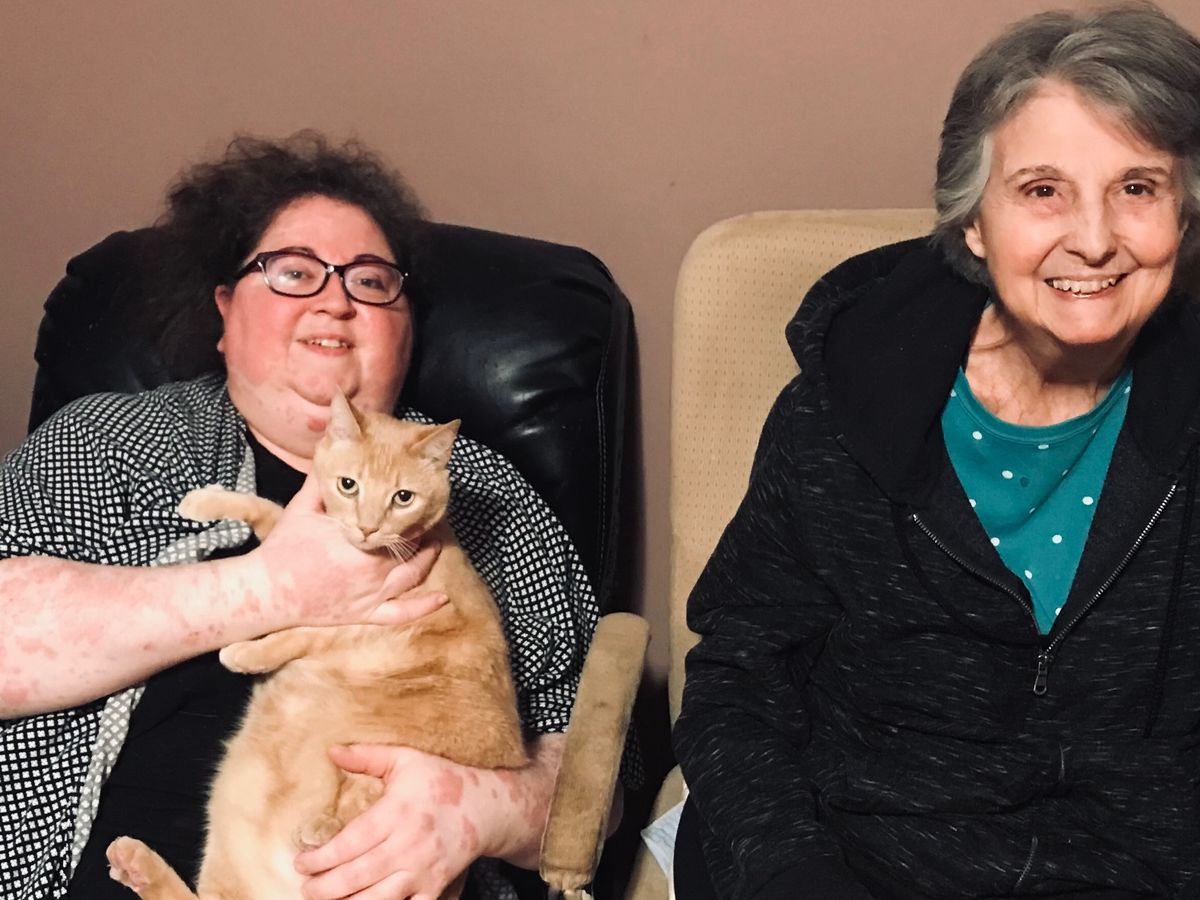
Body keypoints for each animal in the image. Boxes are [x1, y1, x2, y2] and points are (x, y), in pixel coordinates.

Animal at [105, 391, 527, 899]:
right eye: (349, 485)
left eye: (402, 498)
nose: (367, 528)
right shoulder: (305, 545)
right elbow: (267, 509)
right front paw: (207, 499)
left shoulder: (367, 622)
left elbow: (299, 633)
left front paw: (246, 653)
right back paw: (135, 863)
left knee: (359, 796)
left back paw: (320, 830)